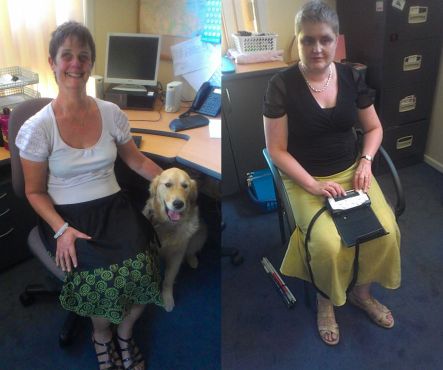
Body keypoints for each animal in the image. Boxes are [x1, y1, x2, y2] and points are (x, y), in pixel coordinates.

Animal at [144, 169, 210, 310]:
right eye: (168, 185)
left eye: (185, 186)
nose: (178, 204)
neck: (169, 225)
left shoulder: (176, 256)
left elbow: (168, 280)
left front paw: (167, 298)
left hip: (201, 233)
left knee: (191, 250)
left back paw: (192, 260)